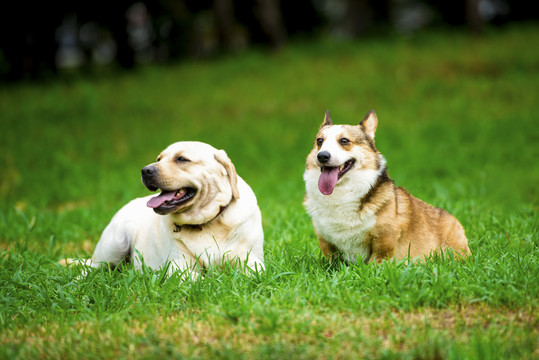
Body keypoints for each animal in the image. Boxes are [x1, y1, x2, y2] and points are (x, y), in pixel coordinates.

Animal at [77, 142, 266, 278]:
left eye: (181, 159)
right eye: (159, 158)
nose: (145, 170)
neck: (207, 223)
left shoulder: (252, 261)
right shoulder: (179, 267)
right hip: (114, 244)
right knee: (93, 268)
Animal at [304, 110, 472, 264]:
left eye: (344, 141)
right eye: (319, 141)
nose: (322, 156)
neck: (342, 193)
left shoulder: (384, 241)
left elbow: (376, 262)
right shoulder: (325, 241)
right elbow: (332, 261)